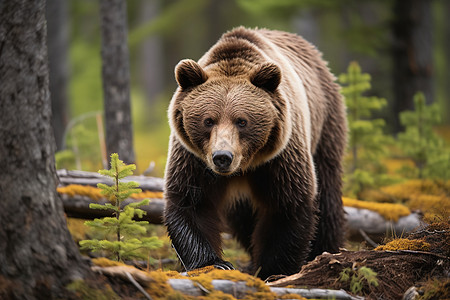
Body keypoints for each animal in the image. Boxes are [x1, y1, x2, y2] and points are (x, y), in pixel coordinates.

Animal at [163, 27, 346, 280]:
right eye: (208, 120)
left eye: (242, 121)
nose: (222, 156)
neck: (247, 164)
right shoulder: (193, 158)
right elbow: (191, 203)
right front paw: (216, 263)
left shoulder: (282, 156)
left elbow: (287, 206)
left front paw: (273, 271)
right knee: (242, 216)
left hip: (325, 123)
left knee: (328, 196)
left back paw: (326, 249)